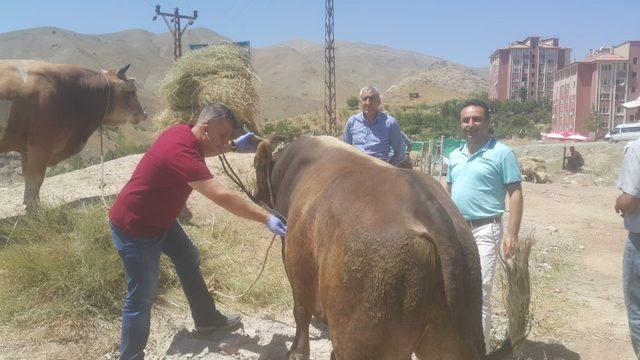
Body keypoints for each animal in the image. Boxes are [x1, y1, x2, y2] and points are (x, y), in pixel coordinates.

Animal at [0, 60, 146, 210]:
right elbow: (36, 178)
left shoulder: (25, 148)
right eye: (132, 92)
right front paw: (35, 209)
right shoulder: (40, 144)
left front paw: (30, 204)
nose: (144, 114)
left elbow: (28, 177)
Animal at [254, 136, 490, 358]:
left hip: (364, 331)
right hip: (453, 336)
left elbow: (300, 310)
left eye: (256, 167)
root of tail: (425, 207)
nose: (255, 195)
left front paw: (296, 351)